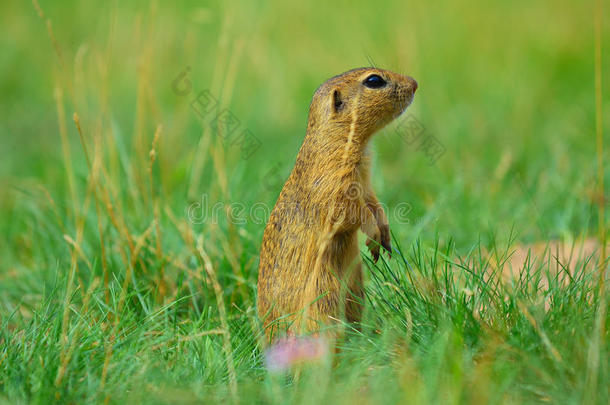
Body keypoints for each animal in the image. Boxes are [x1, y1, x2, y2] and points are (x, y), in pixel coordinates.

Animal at [254, 67, 416, 338]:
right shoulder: (334, 186)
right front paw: (373, 237)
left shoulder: (365, 185)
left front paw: (384, 236)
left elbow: (375, 205)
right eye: (374, 80)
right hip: (324, 299)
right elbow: (354, 212)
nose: (414, 84)